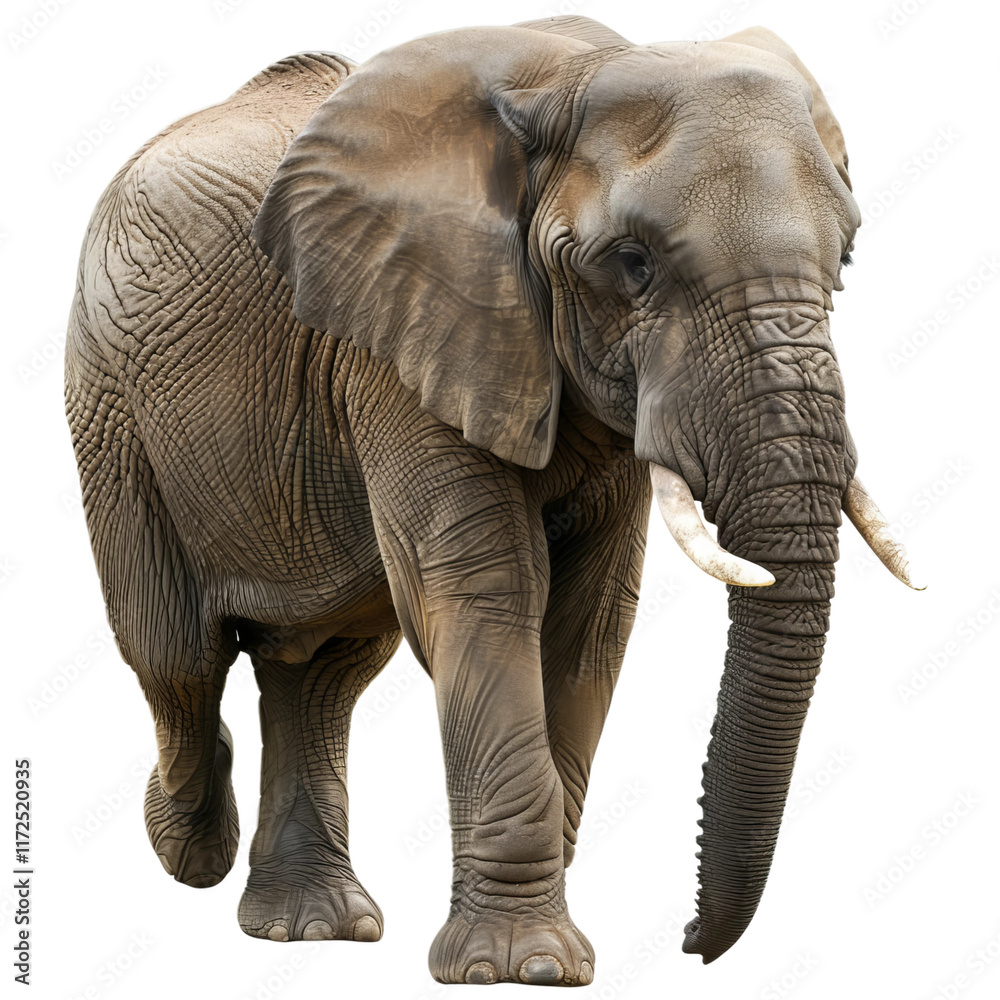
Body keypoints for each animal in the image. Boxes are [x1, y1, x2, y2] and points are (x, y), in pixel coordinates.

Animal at [64, 14, 919, 987]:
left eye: (846, 257)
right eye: (632, 263)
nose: (691, 943)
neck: (573, 73)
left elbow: (589, 620)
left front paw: (541, 955)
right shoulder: (404, 335)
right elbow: (486, 592)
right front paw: (525, 970)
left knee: (320, 668)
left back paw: (310, 930)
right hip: (109, 405)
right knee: (178, 654)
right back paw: (189, 845)